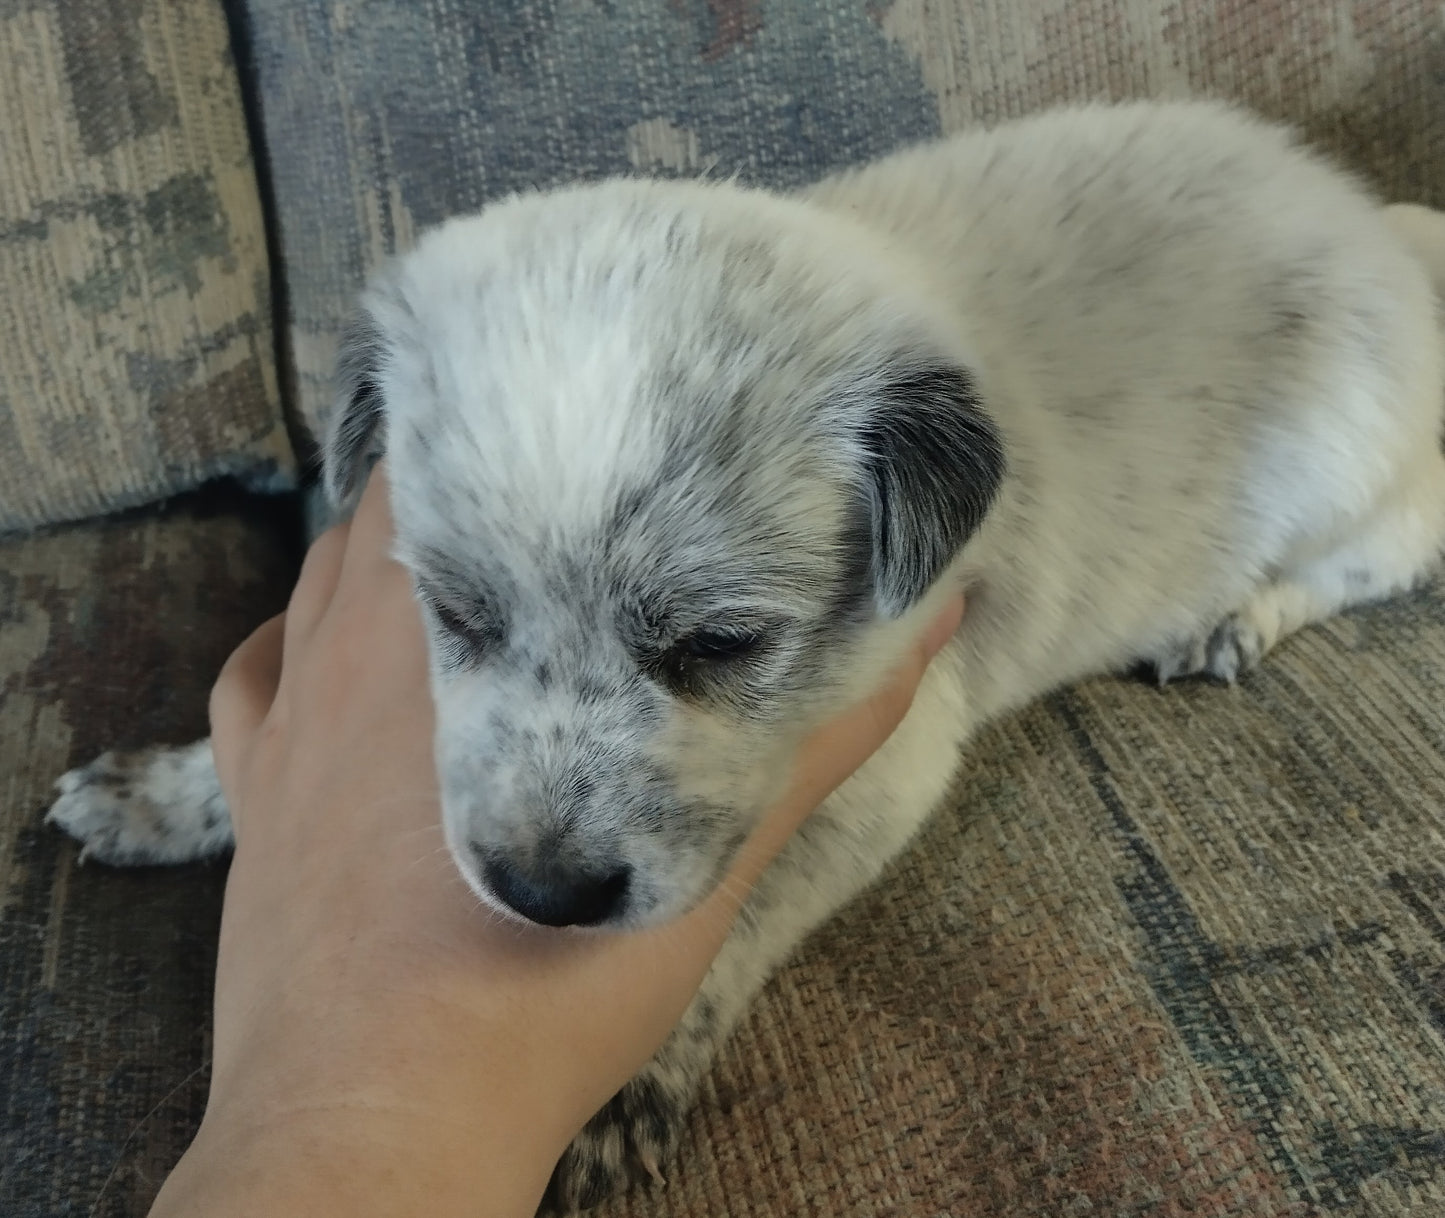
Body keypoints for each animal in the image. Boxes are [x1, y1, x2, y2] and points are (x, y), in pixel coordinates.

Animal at [45, 99, 1445, 1207]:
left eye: (722, 642)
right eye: (456, 615)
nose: (542, 895)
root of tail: (1370, 223)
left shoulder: (885, 769)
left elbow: (726, 934)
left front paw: (620, 1094)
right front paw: (167, 792)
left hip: (1355, 466)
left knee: (1384, 550)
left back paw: (1231, 620)